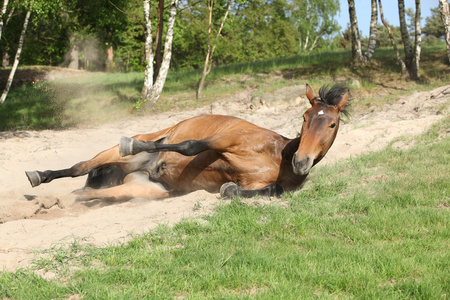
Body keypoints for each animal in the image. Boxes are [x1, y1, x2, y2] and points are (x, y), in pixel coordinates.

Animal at [24, 84, 350, 200]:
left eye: (332, 124)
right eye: (305, 117)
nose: (301, 162)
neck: (276, 154)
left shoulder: (259, 182)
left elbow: (273, 190)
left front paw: (229, 189)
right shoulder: (224, 139)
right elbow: (189, 146)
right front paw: (133, 145)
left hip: (145, 189)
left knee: (93, 194)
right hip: (113, 155)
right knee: (80, 167)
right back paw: (38, 177)